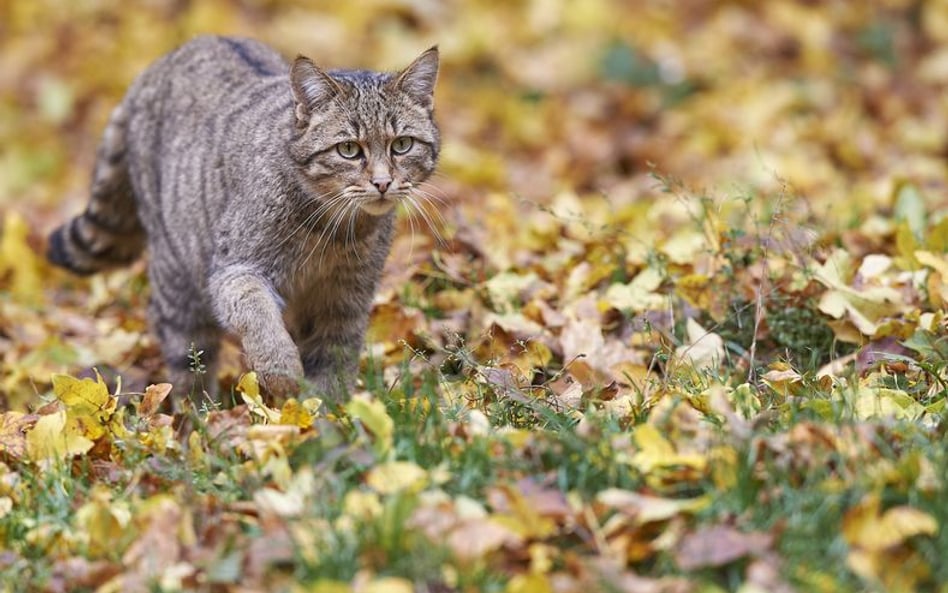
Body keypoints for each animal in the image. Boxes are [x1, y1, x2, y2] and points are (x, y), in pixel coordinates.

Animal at [46, 35, 438, 402]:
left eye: (402, 145)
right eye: (348, 150)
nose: (383, 183)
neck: (335, 231)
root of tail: (159, 64)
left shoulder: (346, 299)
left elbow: (333, 366)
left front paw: (327, 417)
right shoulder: (234, 271)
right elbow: (257, 314)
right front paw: (282, 372)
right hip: (180, 282)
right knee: (183, 354)